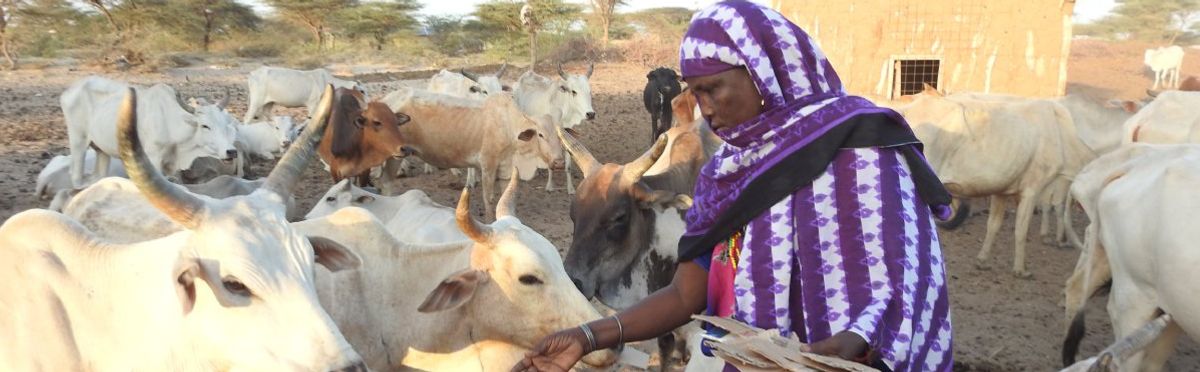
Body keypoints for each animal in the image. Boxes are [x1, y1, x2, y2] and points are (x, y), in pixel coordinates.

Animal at [62, 74, 238, 188]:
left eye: (225, 123)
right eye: (205, 125)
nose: (231, 151)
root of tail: (70, 90)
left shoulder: (171, 165)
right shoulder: (153, 158)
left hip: (102, 149)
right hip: (78, 140)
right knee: (75, 175)